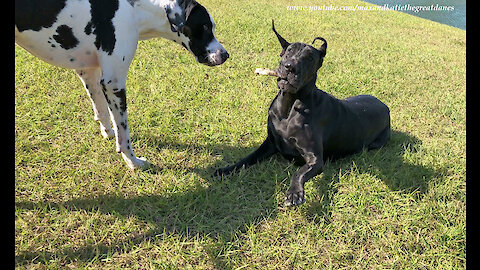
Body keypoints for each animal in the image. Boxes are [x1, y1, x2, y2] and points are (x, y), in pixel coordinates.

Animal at [15, 0, 230, 169]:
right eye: (204, 27)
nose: (225, 55)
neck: (134, 8)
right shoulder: (114, 83)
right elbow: (124, 134)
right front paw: (132, 162)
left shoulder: (90, 72)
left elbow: (102, 112)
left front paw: (108, 133)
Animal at [216, 21, 392, 207]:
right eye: (288, 51)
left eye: (309, 58)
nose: (289, 67)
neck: (289, 108)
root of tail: (385, 107)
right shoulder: (270, 142)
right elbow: (248, 158)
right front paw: (226, 170)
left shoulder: (315, 159)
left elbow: (299, 172)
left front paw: (295, 192)